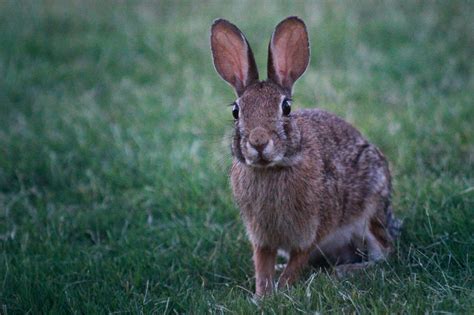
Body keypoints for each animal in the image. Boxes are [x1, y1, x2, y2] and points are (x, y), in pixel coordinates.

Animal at [210, 16, 400, 298]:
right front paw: (262, 295)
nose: (258, 142)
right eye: (236, 111)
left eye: (286, 107)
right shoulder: (261, 235)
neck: (272, 168)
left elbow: (299, 257)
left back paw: (344, 271)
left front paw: (282, 289)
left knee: (384, 254)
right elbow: (262, 263)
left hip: (371, 209)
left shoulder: (312, 228)